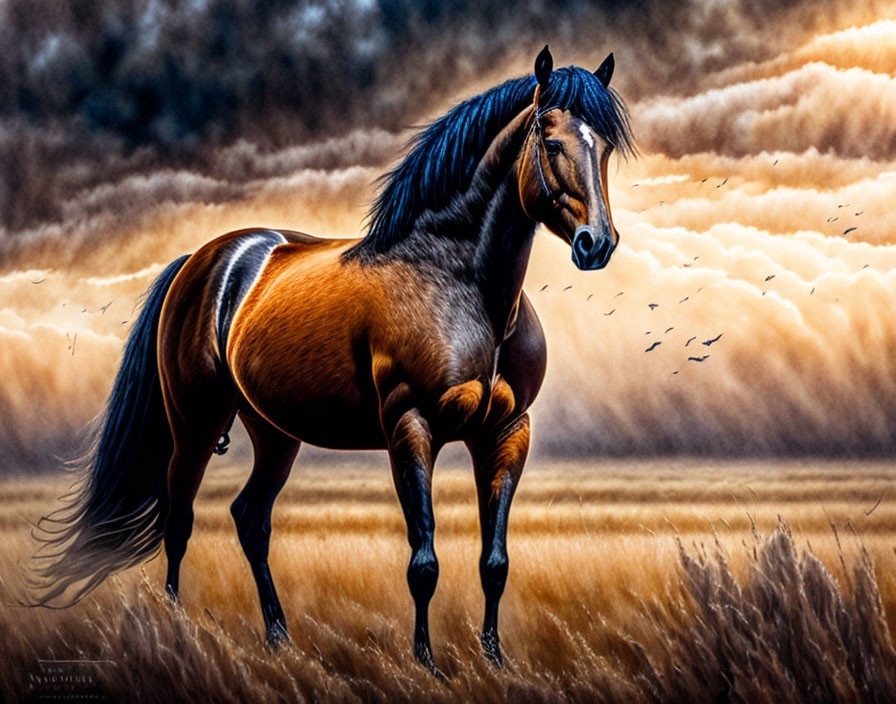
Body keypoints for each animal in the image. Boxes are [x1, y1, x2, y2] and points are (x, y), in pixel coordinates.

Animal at [33, 44, 632, 672]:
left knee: (251, 519)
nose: (597, 244)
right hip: (194, 422)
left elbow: (494, 562)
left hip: (274, 433)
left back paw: (279, 637)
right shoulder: (410, 427)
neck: (464, 288)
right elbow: (424, 561)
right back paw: (176, 634)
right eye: (551, 142)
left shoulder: (507, 431)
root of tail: (204, 259)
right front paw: (426, 663)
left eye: (604, 147)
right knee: (179, 520)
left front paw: (494, 660)